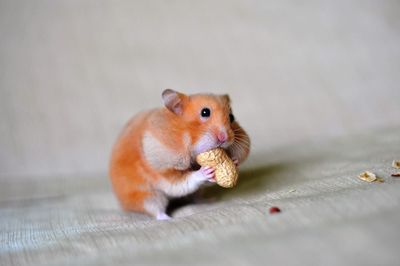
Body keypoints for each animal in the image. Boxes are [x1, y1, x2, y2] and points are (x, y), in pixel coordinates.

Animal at [109, 89, 250, 220]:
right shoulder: (163, 172)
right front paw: (205, 171)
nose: (224, 138)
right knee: (156, 210)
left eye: (231, 117)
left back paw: (210, 200)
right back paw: (168, 218)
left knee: (196, 198)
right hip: (148, 196)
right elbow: (183, 182)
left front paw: (234, 162)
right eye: (205, 112)